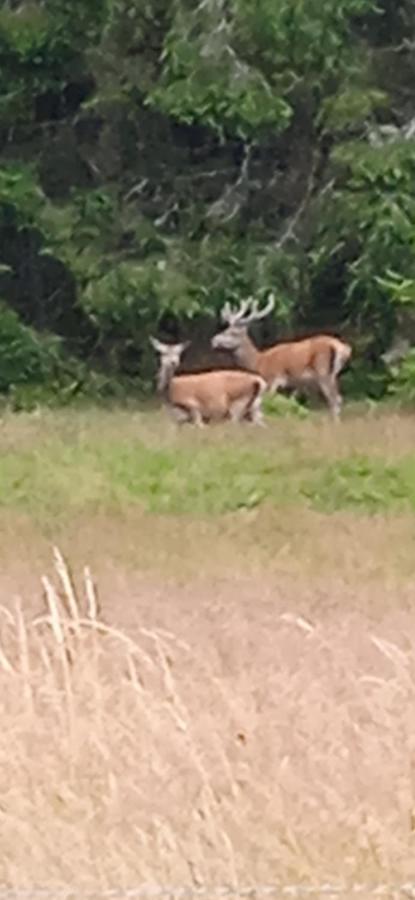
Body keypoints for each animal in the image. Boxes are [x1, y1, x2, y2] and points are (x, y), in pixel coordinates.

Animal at [213, 298, 352, 420]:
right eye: (225, 329)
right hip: (332, 374)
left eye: (233, 333)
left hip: (323, 371)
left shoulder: (272, 379)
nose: (213, 340)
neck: (258, 362)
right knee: (337, 399)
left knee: (335, 399)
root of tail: (343, 348)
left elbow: (268, 404)